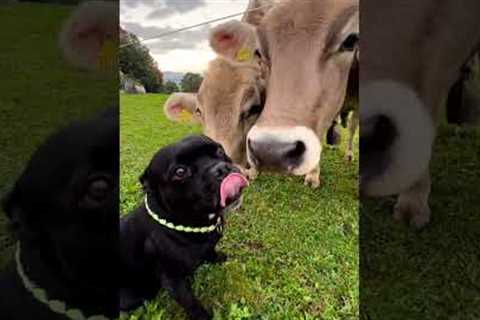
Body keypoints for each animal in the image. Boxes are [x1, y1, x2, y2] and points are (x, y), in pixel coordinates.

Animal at [120, 136, 249, 320]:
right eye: (180, 172)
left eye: (219, 151)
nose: (221, 168)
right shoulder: (173, 281)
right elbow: (191, 303)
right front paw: (203, 317)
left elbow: (211, 250)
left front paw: (217, 257)